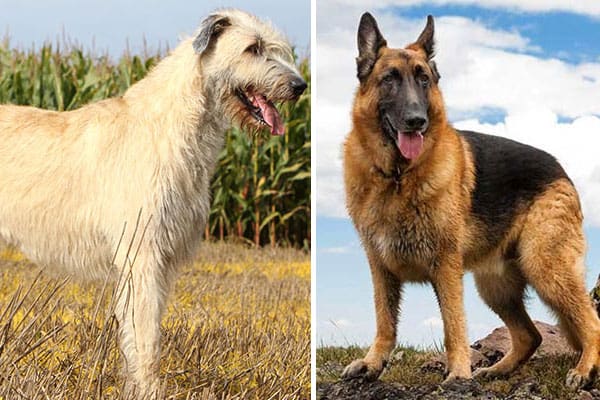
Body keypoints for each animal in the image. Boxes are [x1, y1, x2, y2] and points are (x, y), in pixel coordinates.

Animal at [342, 13, 600, 390]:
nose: (417, 120)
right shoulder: (381, 267)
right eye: (389, 79)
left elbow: (453, 325)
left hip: (545, 267)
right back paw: (497, 370)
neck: (398, 178)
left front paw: (458, 373)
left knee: (590, 320)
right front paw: (373, 364)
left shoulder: (446, 267)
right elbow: (384, 322)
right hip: (495, 285)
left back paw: (584, 370)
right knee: (530, 336)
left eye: (423, 79)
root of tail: (560, 169)